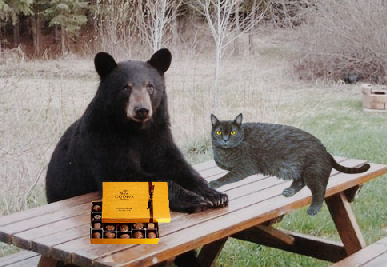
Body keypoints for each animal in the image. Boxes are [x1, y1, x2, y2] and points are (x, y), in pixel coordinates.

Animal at [211, 114, 372, 217]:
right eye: (218, 132)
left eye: (232, 132)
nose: (225, 139)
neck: (224, 151)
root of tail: (325, 150)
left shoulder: (244, 167)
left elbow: (227, 176)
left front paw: (215, 182)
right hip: (298, 170)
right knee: (300, 182)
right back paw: (290, 191)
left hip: (312, 172)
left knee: (320, 190)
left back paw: (313, 209)